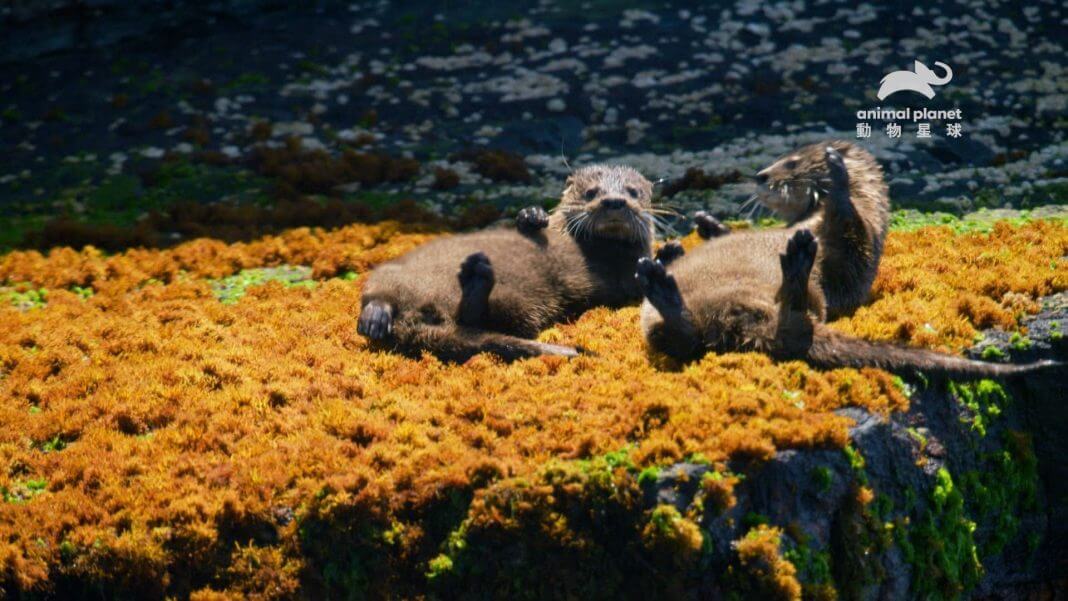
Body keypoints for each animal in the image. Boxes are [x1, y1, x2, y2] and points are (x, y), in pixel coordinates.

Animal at [358, 163, 657, 362]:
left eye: (632, 192)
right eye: (591, 192)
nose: (614, 201)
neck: (597, 249)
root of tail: (412, 320)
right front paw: (532, 215)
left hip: (521, 302)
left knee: (480, 317)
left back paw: (475, 278)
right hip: (393, 270)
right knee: (377, 292)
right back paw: (376, 315)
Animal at [636, 147, 1055, 377]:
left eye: (790, 162)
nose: (760, 174)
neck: (811, 222)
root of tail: (743, 317)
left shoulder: (858, 249)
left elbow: (851, 241)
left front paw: (837, 178)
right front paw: (705, 226)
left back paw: (796, 262)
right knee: (689, 338)